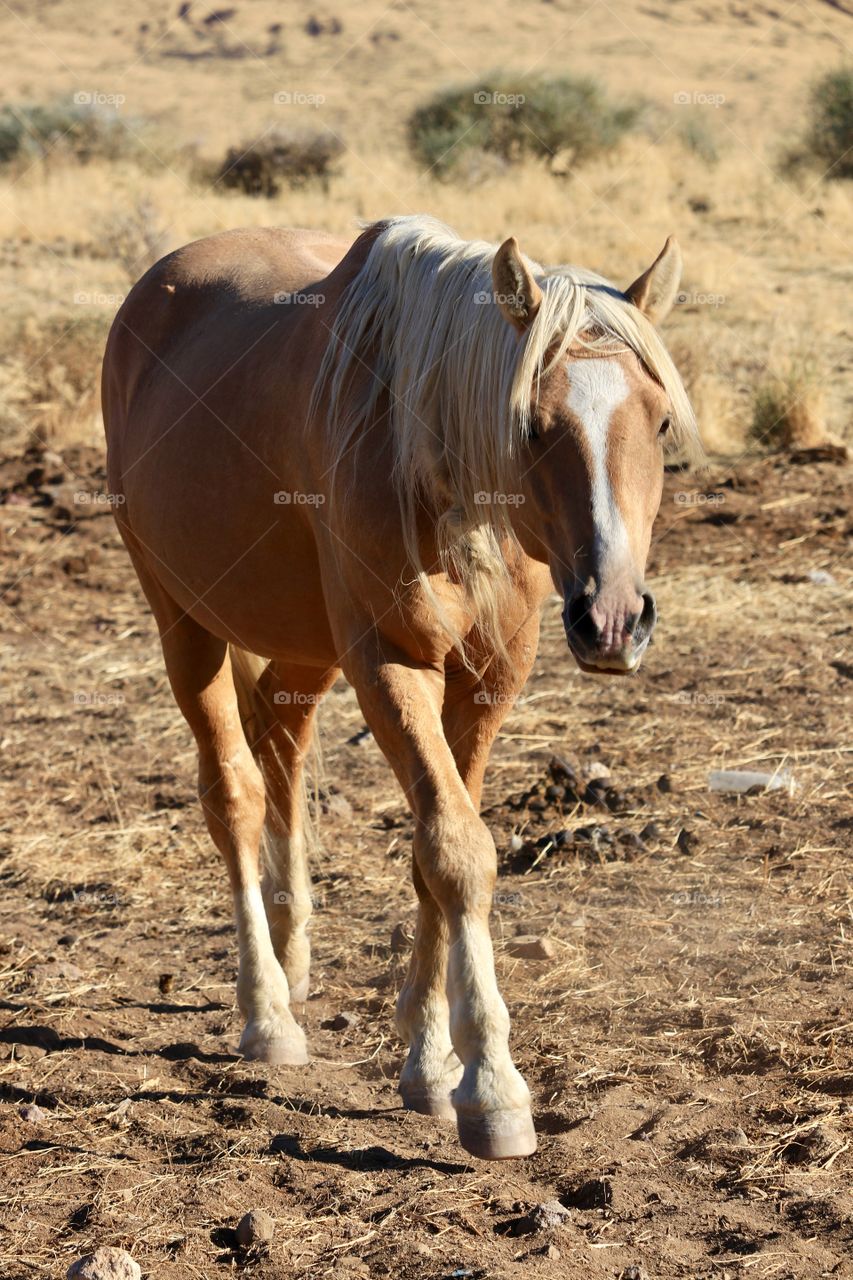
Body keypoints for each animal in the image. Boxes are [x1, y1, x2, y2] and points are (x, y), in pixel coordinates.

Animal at [103, 217, 696, 1162]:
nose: (612, 619)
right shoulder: (388, 663)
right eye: (532, 425)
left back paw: (293, 959)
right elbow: (455, 850)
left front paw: (428, 1061)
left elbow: (432, 853)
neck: (431, 461)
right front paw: (490, 1087)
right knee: (233, 792)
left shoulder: (491, 675)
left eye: (662, 420)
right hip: (182, 617)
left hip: (306, 641)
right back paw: (267, 1011)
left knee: (280, 743)